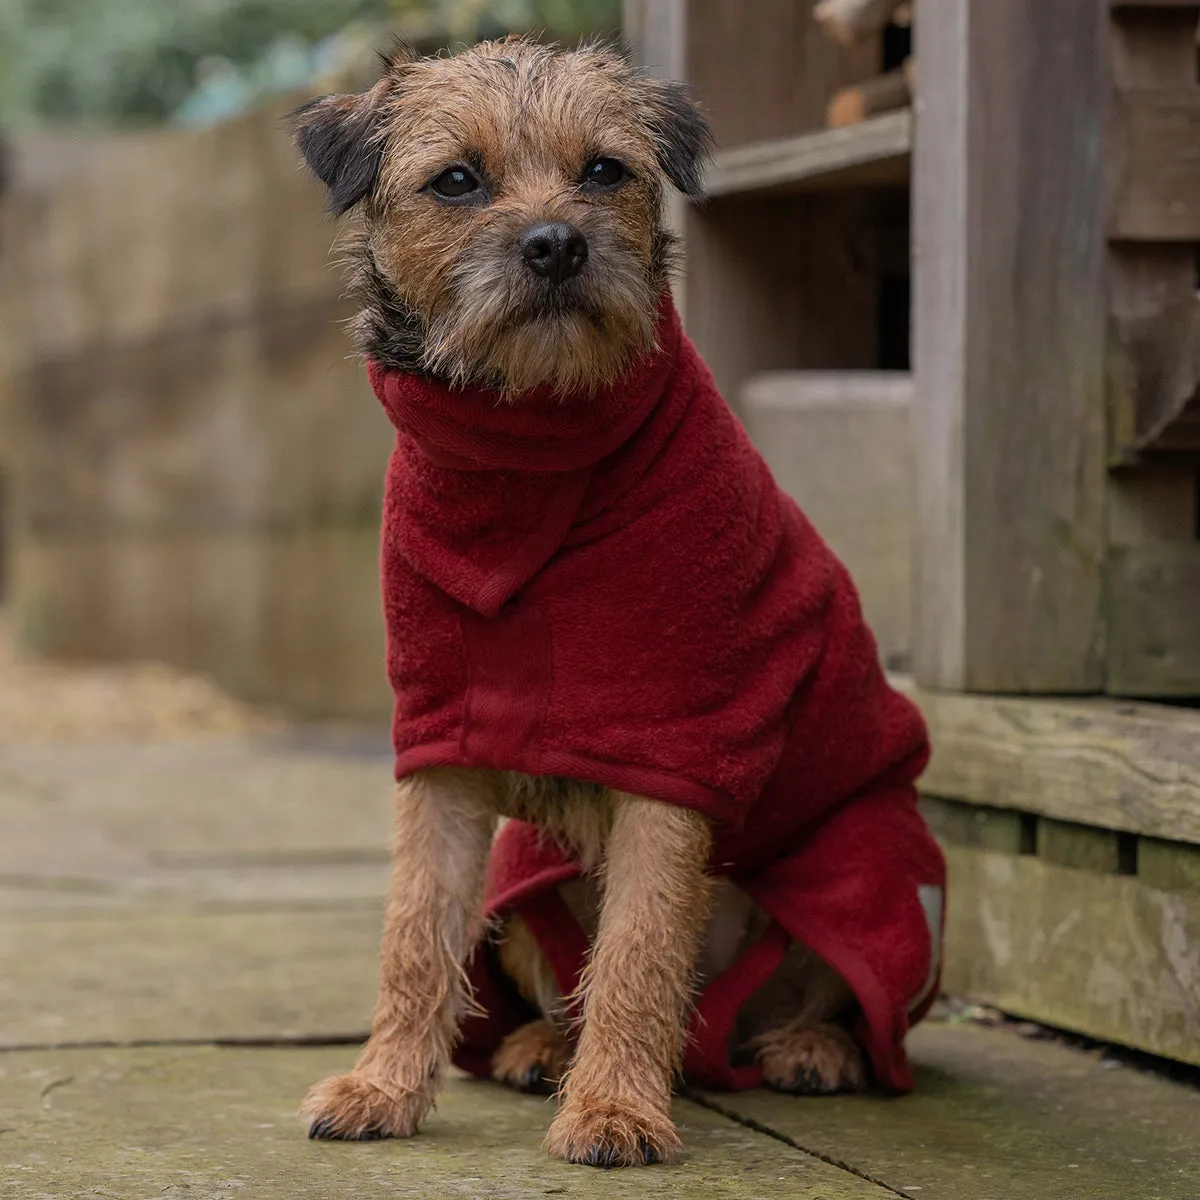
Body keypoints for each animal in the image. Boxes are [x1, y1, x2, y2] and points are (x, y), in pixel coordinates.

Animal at [292, 39, 945, 1171]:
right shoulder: (440, 755)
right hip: (522, 884)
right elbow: (414, 929)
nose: (557, 244)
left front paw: (615, 1112)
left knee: (828, 995)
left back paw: (810, 1048)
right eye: (456, 181)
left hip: (867, 871)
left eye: (604, 171)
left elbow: (640, 947)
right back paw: (542, 1049)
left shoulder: (676, 753)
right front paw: (384, 1087)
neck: (529, 458)